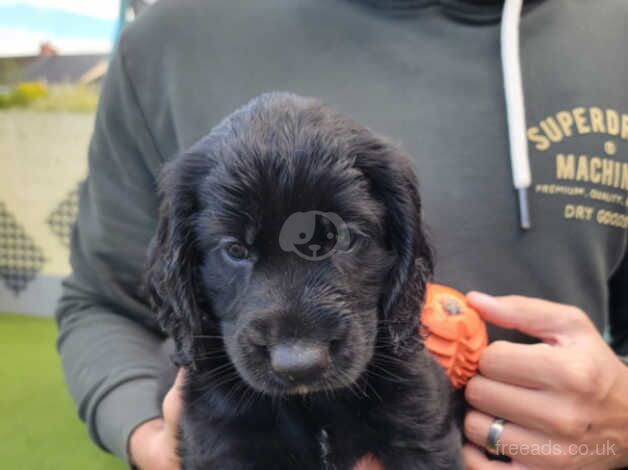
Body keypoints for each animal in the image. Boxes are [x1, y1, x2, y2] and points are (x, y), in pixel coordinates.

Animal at [145, 92, 464, 470]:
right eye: (236, 250)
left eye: (343, 237)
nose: (299, 365)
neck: (312, 404)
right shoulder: (221, 442)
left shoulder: (419, 420)